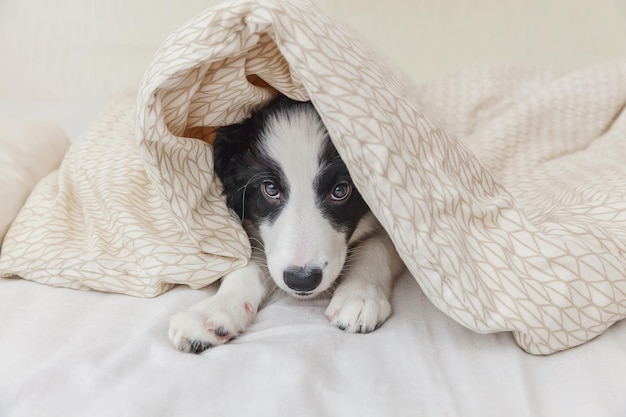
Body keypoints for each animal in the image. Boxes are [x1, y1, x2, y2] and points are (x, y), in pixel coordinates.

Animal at [168, 96, 402, 352]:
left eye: (340, 191)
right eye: (270, 188)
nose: (302, 280)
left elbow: (377, 245)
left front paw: (360, 294)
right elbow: (248, 262)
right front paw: (214, 309)